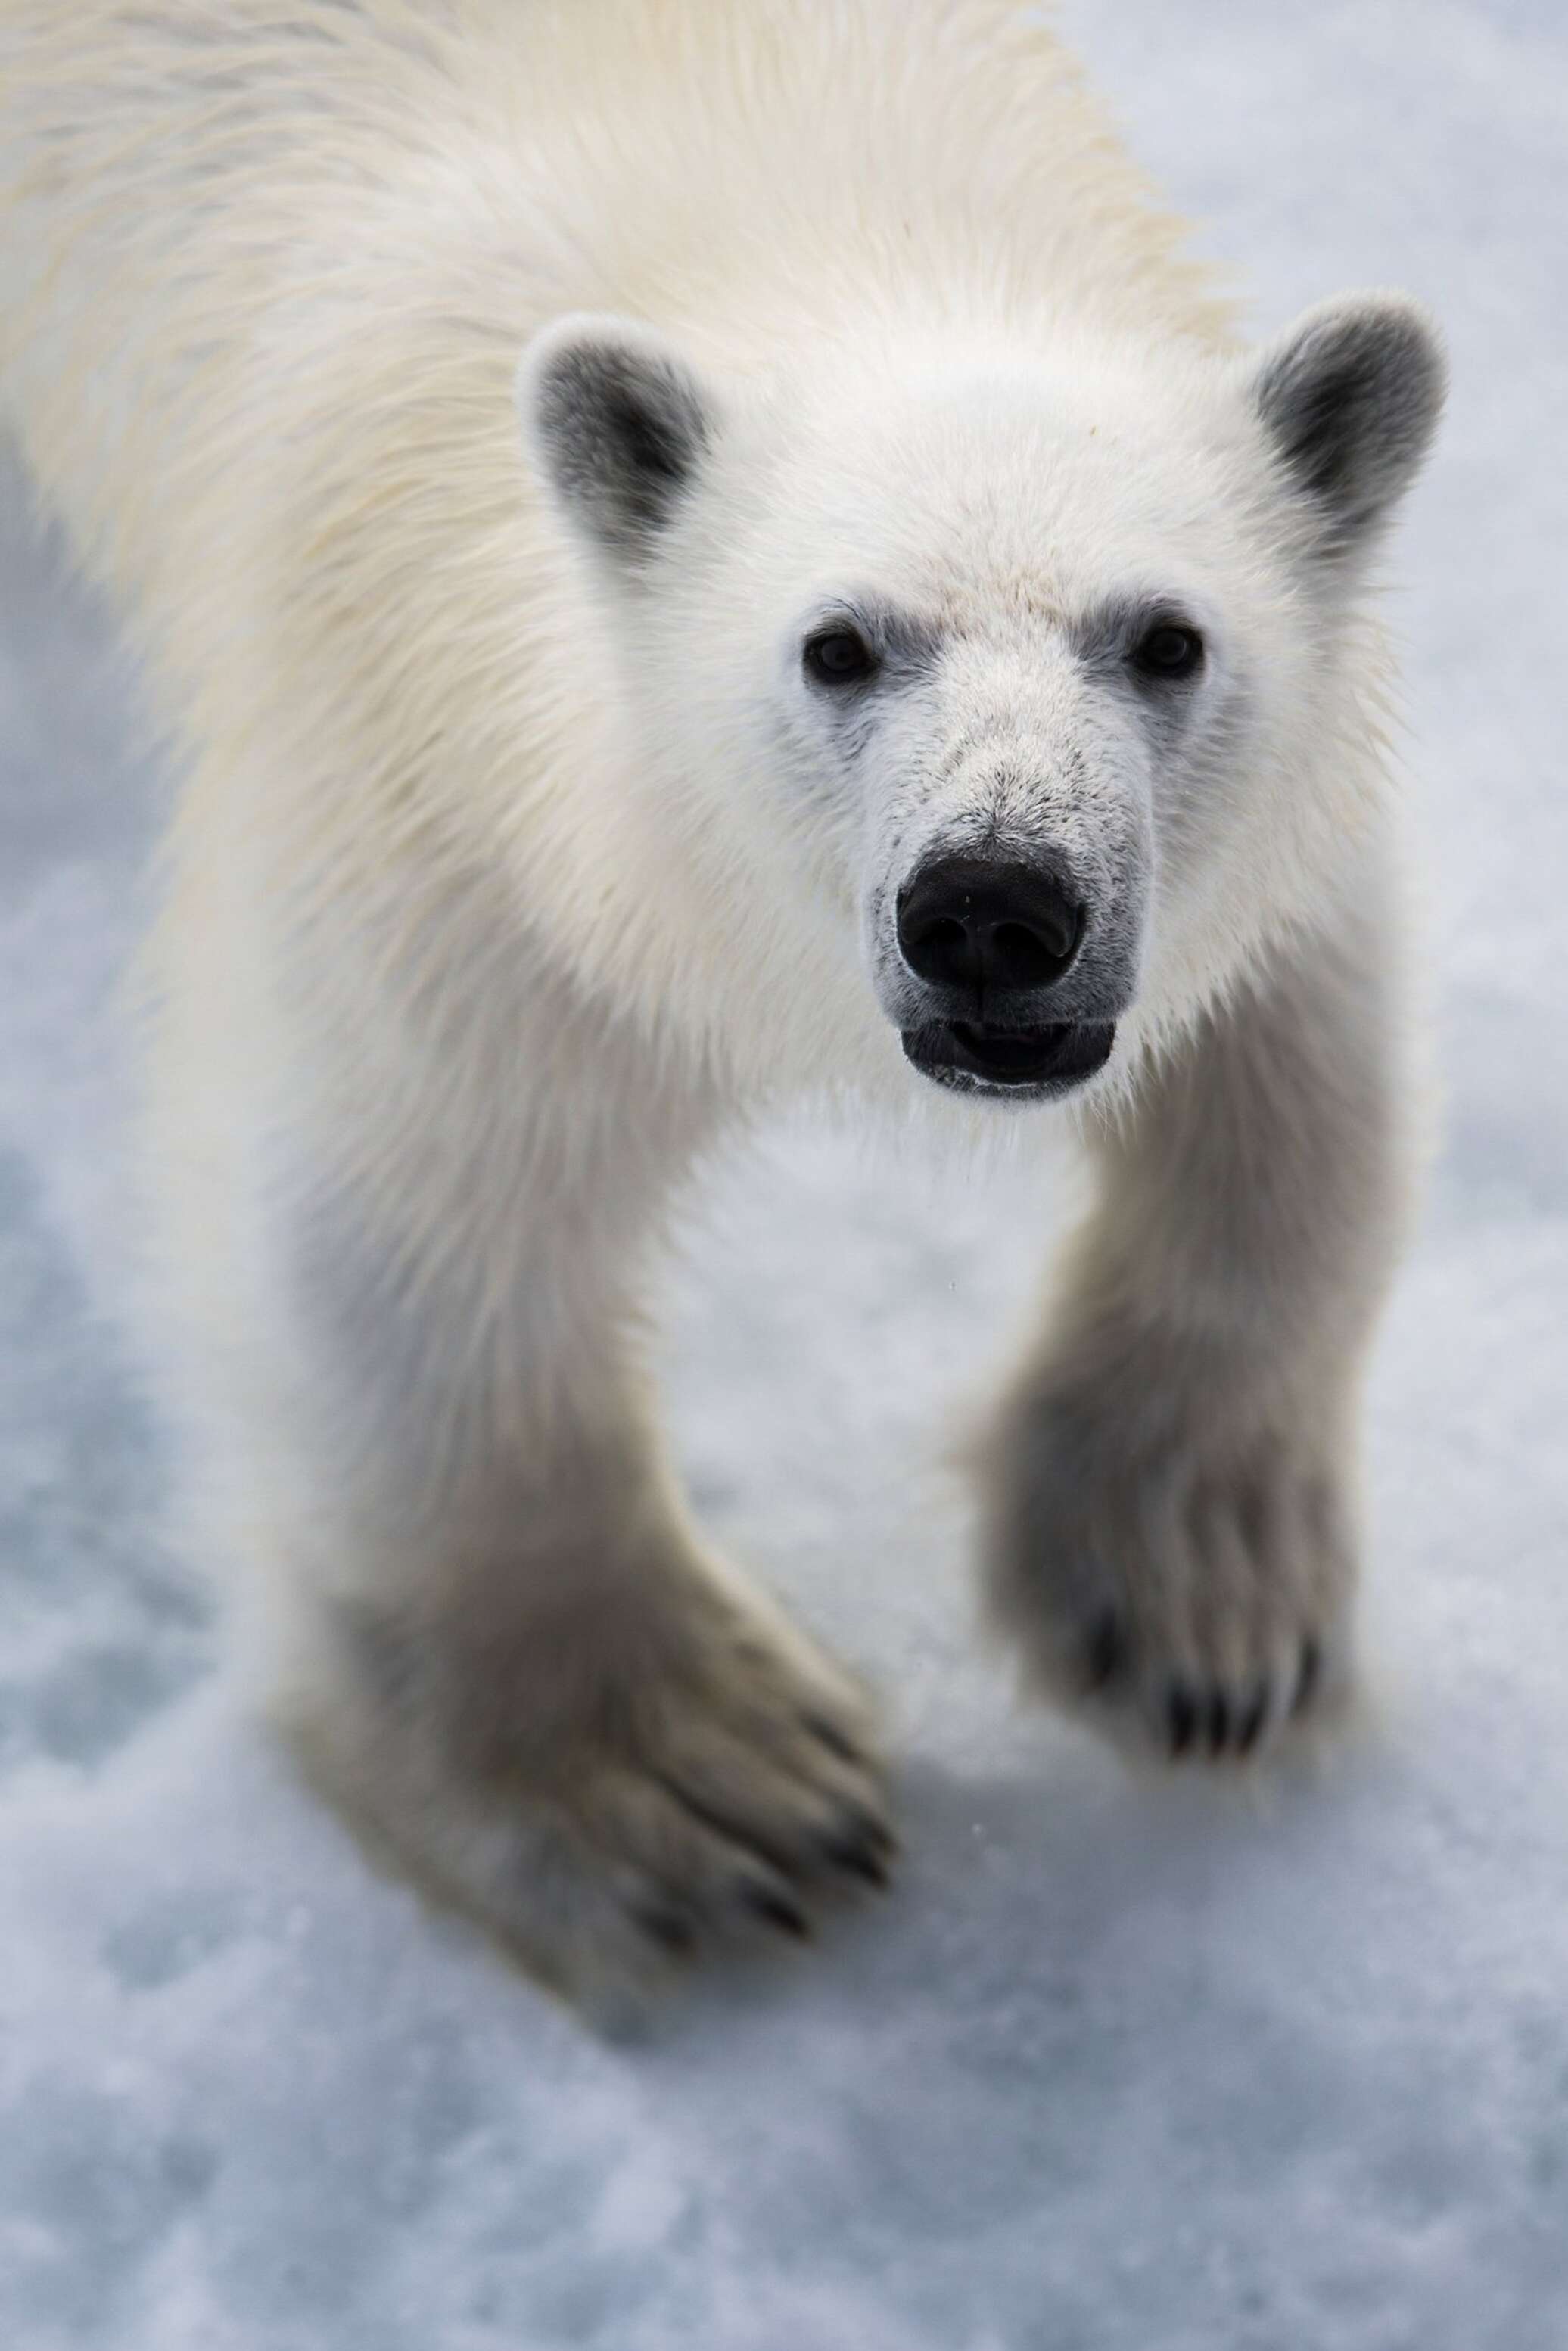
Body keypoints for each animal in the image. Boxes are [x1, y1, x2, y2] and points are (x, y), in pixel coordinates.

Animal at [3, 5, 1448, 2003]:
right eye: (838, 642)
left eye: (1166, 636)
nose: (994, 904)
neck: (818, 217)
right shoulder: (438, 799)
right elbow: (410, 1228)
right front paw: (703, 1784)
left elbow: (1296, 1064)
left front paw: (1196, 1598)